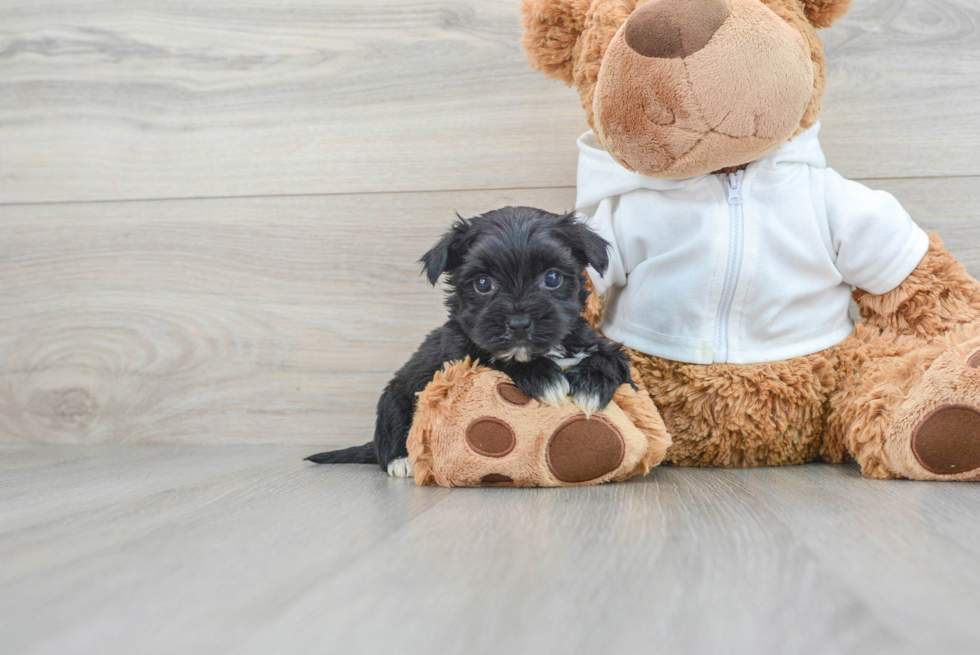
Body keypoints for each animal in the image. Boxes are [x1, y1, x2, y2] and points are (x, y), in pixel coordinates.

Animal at [306, 206, 636, 476]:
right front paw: (543, 376)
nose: (519, 323)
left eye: (552, 278)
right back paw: (402, 461)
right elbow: (495, 357)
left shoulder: (589, 339)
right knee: (390, 434)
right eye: (483, 284)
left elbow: (612, 357)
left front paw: (592, 385)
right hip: (395, 398)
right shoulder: (460, 358)